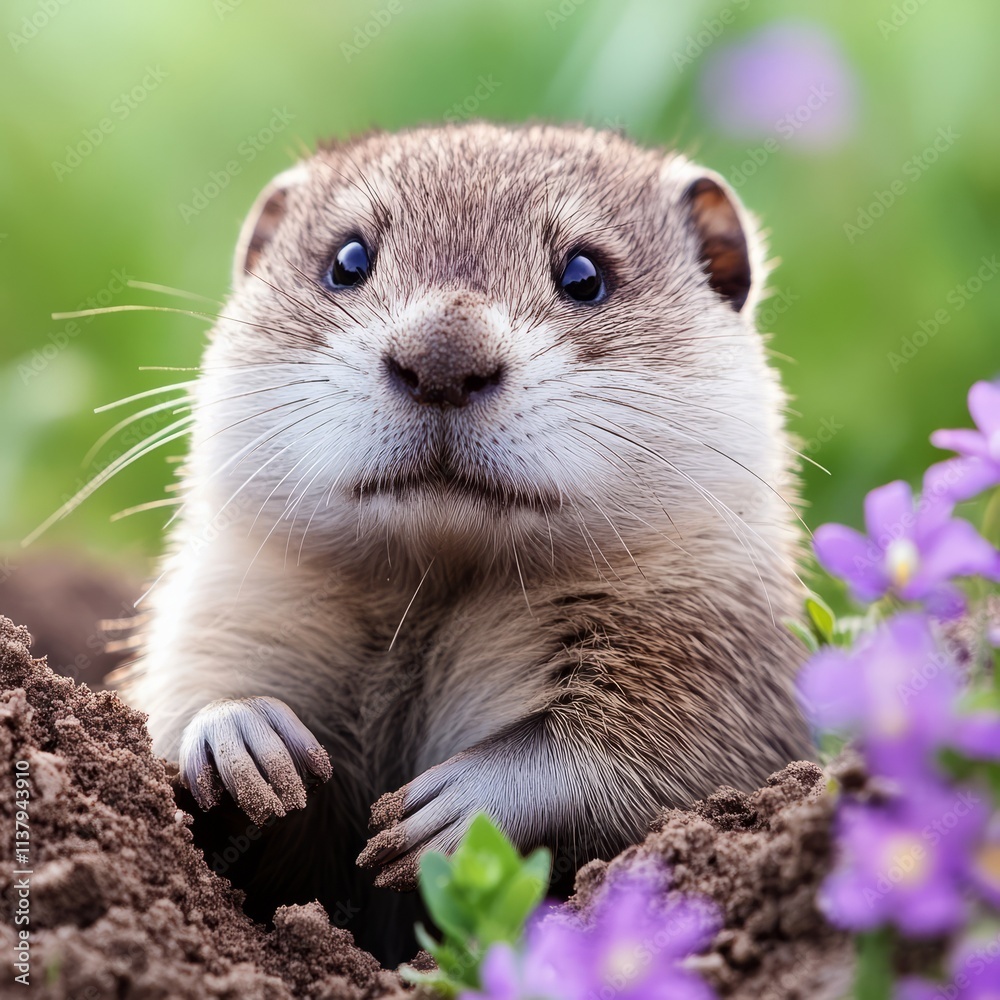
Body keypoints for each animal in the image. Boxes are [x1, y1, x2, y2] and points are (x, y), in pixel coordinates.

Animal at [121, 122, 812, 962]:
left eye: (586, 274)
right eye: (346, 260)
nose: (443, 356)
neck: (436, 586)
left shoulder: (710, 654)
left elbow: (651, 756)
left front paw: (448, 808)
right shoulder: (231, 603)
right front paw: (240, 737)